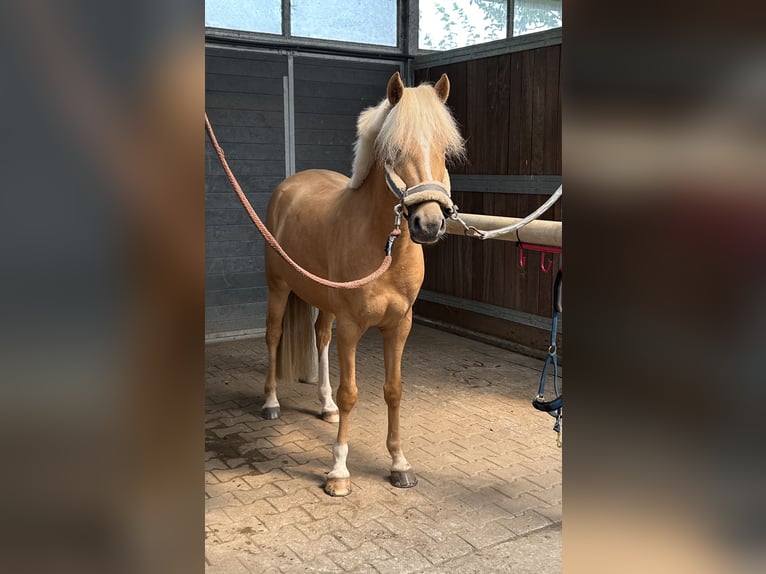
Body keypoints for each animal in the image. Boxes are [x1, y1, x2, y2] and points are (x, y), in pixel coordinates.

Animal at [260, 71, 464, 496]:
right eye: (394, 150)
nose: (429, 224)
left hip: (322, 302)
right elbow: (351, 393)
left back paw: (325, 407)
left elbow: (393, 389)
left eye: (444, 149)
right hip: (278, 289)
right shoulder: (352, 327)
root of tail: (290, 187)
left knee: (321, 337)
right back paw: (270, 403)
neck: (384, 248)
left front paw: (399, 463)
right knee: (272, 337)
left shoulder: (399, 326)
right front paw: (338, 471)